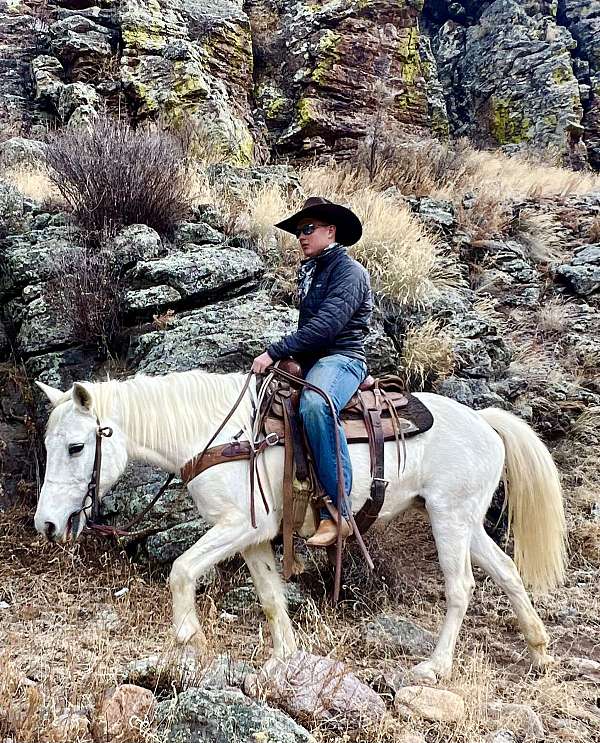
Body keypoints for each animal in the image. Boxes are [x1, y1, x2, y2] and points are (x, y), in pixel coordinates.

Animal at [34, 370, 568, 684]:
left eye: (77, 447)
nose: (47, 523)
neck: (222, 436)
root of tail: (484, 420)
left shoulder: (235, 526)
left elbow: (182, 571)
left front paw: (188, 642)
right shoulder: (251, 538)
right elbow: (271, 596)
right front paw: (284, 660)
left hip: (449, 517)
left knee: (461, 586)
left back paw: (435, 667)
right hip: (466, 520)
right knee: (506, 571)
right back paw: (540, 651)